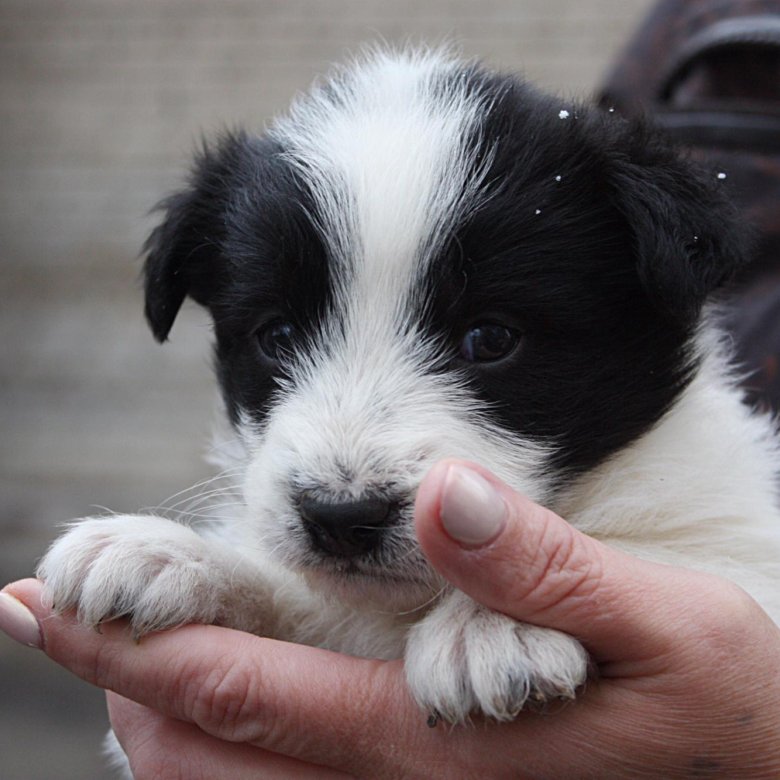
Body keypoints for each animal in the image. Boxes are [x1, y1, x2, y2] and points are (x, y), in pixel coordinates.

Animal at [36, 48, 780, 732]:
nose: (341, 518)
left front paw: (494, 625)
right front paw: (164, 553)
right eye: (277, 335)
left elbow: (671, 555)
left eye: (491, 337)